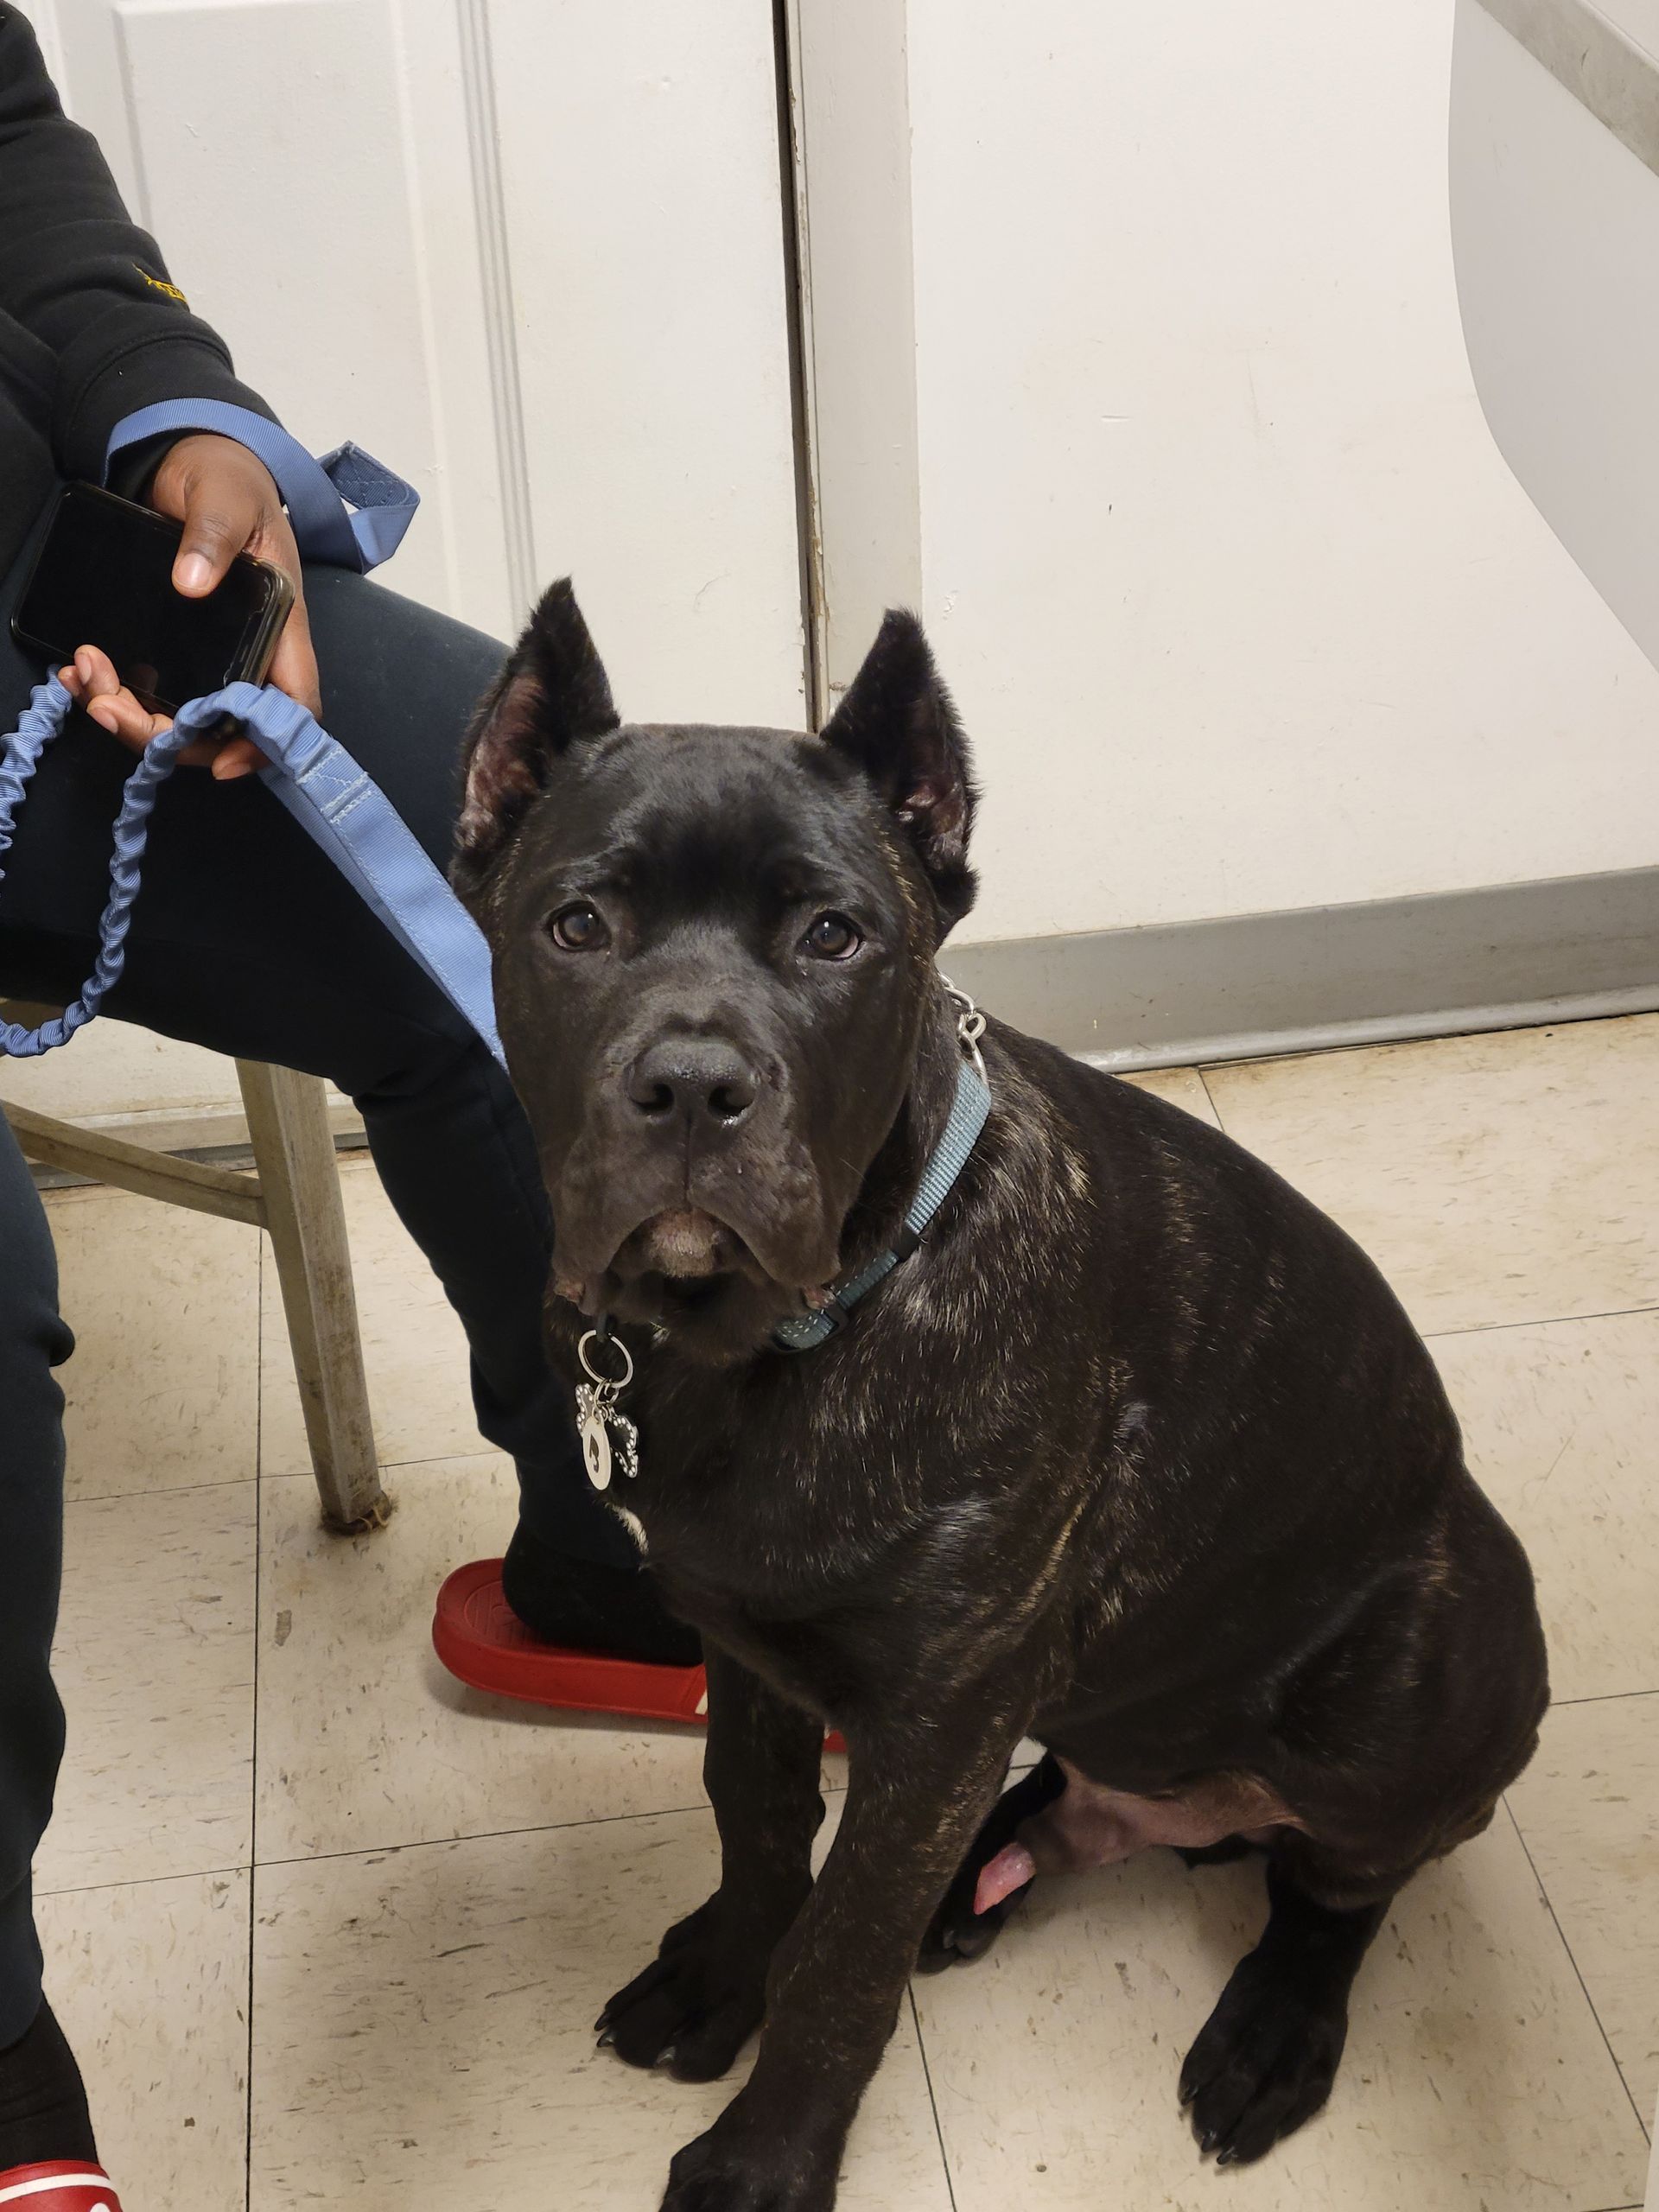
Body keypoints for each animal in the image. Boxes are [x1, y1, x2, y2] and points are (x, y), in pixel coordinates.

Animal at [453, 581, 1549, 2211]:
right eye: (576, 925)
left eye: (836, 936)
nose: (694, 1084)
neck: (779, 1335)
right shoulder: (753, 1640)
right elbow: (761, 1828)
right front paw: (721, 1980)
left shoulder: (936, 1714)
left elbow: (843, 1955)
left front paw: (768, 2159)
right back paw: (990, 1872)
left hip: (1416, 1679)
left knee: (1342, 1884)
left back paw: (1274, 2028)